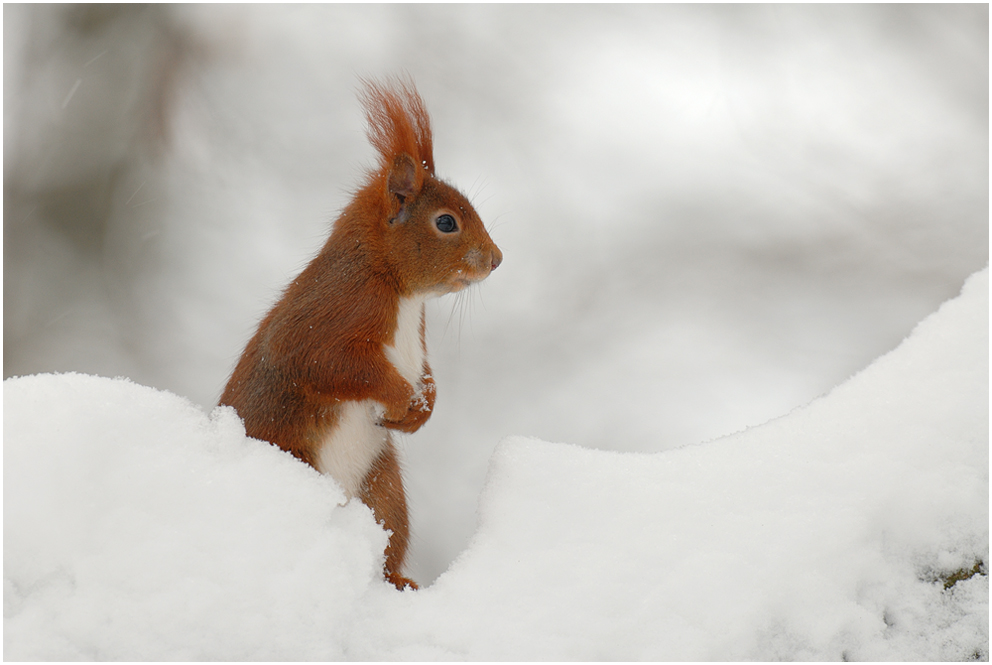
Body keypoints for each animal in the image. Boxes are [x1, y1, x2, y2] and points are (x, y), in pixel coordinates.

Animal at [224, 80, 504, 588]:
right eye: (446, 222)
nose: (496, 259)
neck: (397, 287)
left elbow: (427, 374)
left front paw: (423, 407)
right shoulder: (330, 318)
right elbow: (331, 364)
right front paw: (402, 399)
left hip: (384, 492)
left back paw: (398, 580)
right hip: (299, 454)